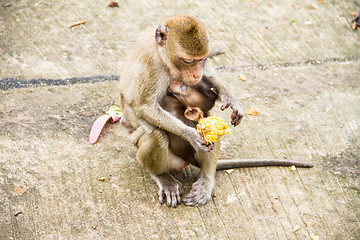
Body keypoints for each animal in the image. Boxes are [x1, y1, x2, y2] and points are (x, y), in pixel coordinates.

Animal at [117, 14, 242, 208]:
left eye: (202, 59)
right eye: (188, 60)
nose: (196, 74)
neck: (163, 56)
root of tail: (184, 162)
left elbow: (211, 78)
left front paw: (232, 99)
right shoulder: (152, 66)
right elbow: (145, 107)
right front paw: (192, 136)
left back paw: (206, 180)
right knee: (156, 135)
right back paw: (162, 176)